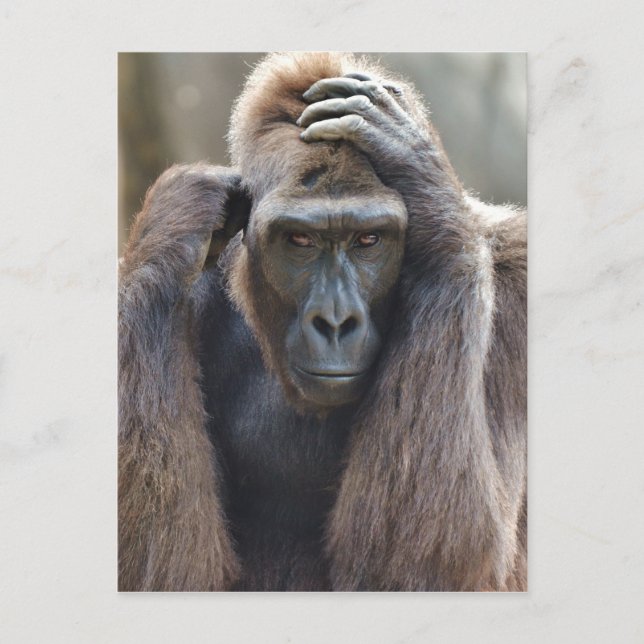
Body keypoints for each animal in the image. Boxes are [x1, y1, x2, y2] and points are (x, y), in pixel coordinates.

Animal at [118, 52, 527, 591]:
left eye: (369, 240)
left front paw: (424, 176)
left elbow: (438, 564)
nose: (335, 321)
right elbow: (163, 568)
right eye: (301, 241)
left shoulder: (517, 272)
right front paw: (175, 219)